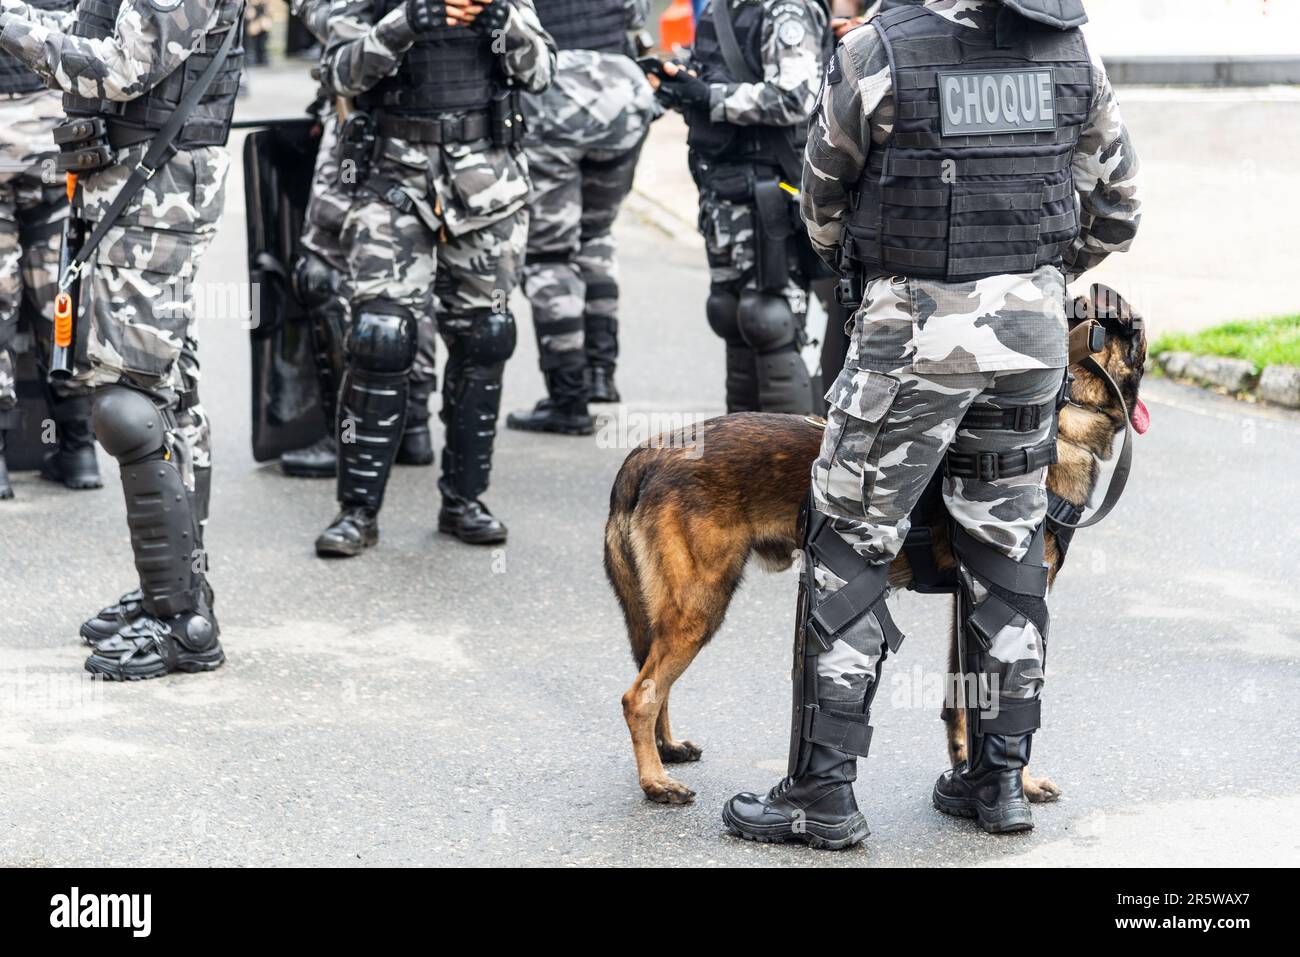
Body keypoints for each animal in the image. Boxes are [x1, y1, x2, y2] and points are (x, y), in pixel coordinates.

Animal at [603, 286, 1144, 806]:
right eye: (1135, 330)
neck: (1070, 410)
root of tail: (650, 452)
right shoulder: (1017, 600)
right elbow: (1004, 695)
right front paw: (1022, 783)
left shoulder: (966, 605)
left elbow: (963, 697)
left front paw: (966, 772)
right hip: (700, 605)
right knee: (639, 695)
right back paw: (655, 782)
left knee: (654, 680)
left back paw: (668, 749)